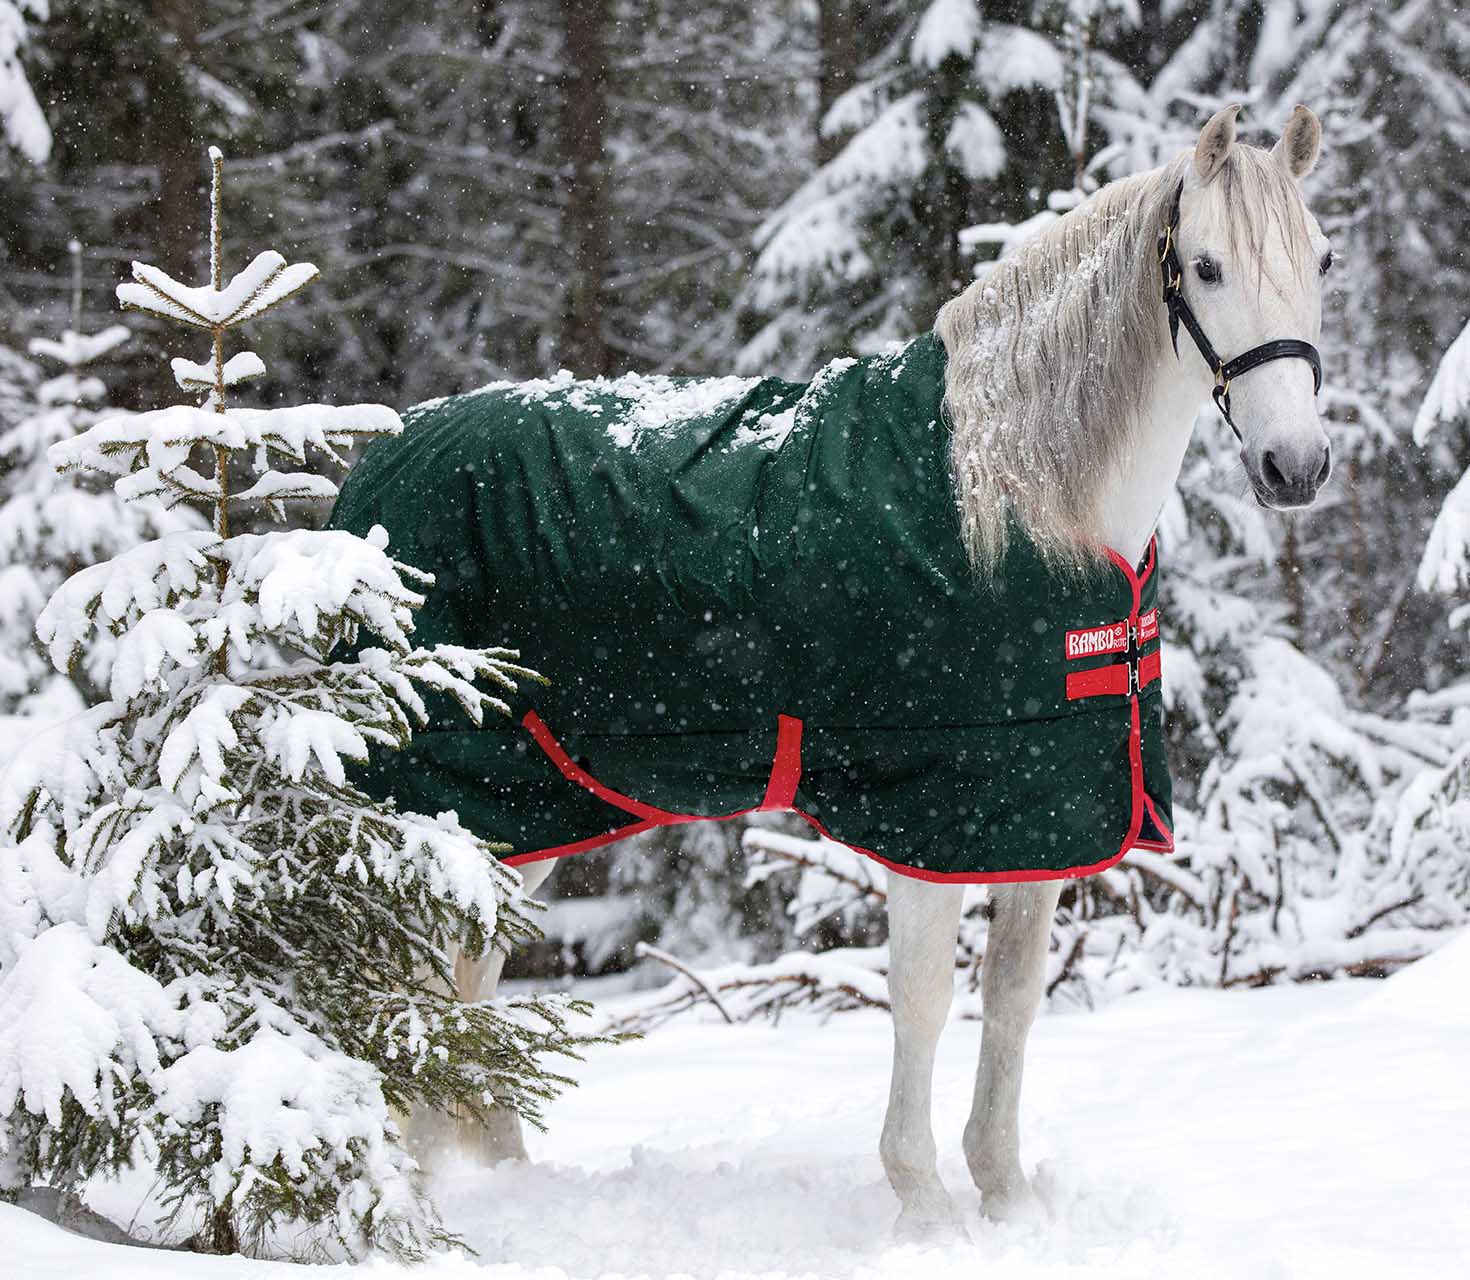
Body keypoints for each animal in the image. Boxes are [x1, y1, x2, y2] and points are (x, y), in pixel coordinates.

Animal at [339, 103, 1334, 1235]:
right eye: (1206, 266)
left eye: (1323, 259)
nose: (1296, 466)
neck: (1018, 504)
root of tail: (383, 458)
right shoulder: (932, 814)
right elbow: (925, 1000)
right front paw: (927, 1206)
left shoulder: (1036, 809)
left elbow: (1014, 999)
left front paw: (1005, 1197)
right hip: (443, 793)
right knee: (414, 975)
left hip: (527, 806)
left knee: (469, 971)